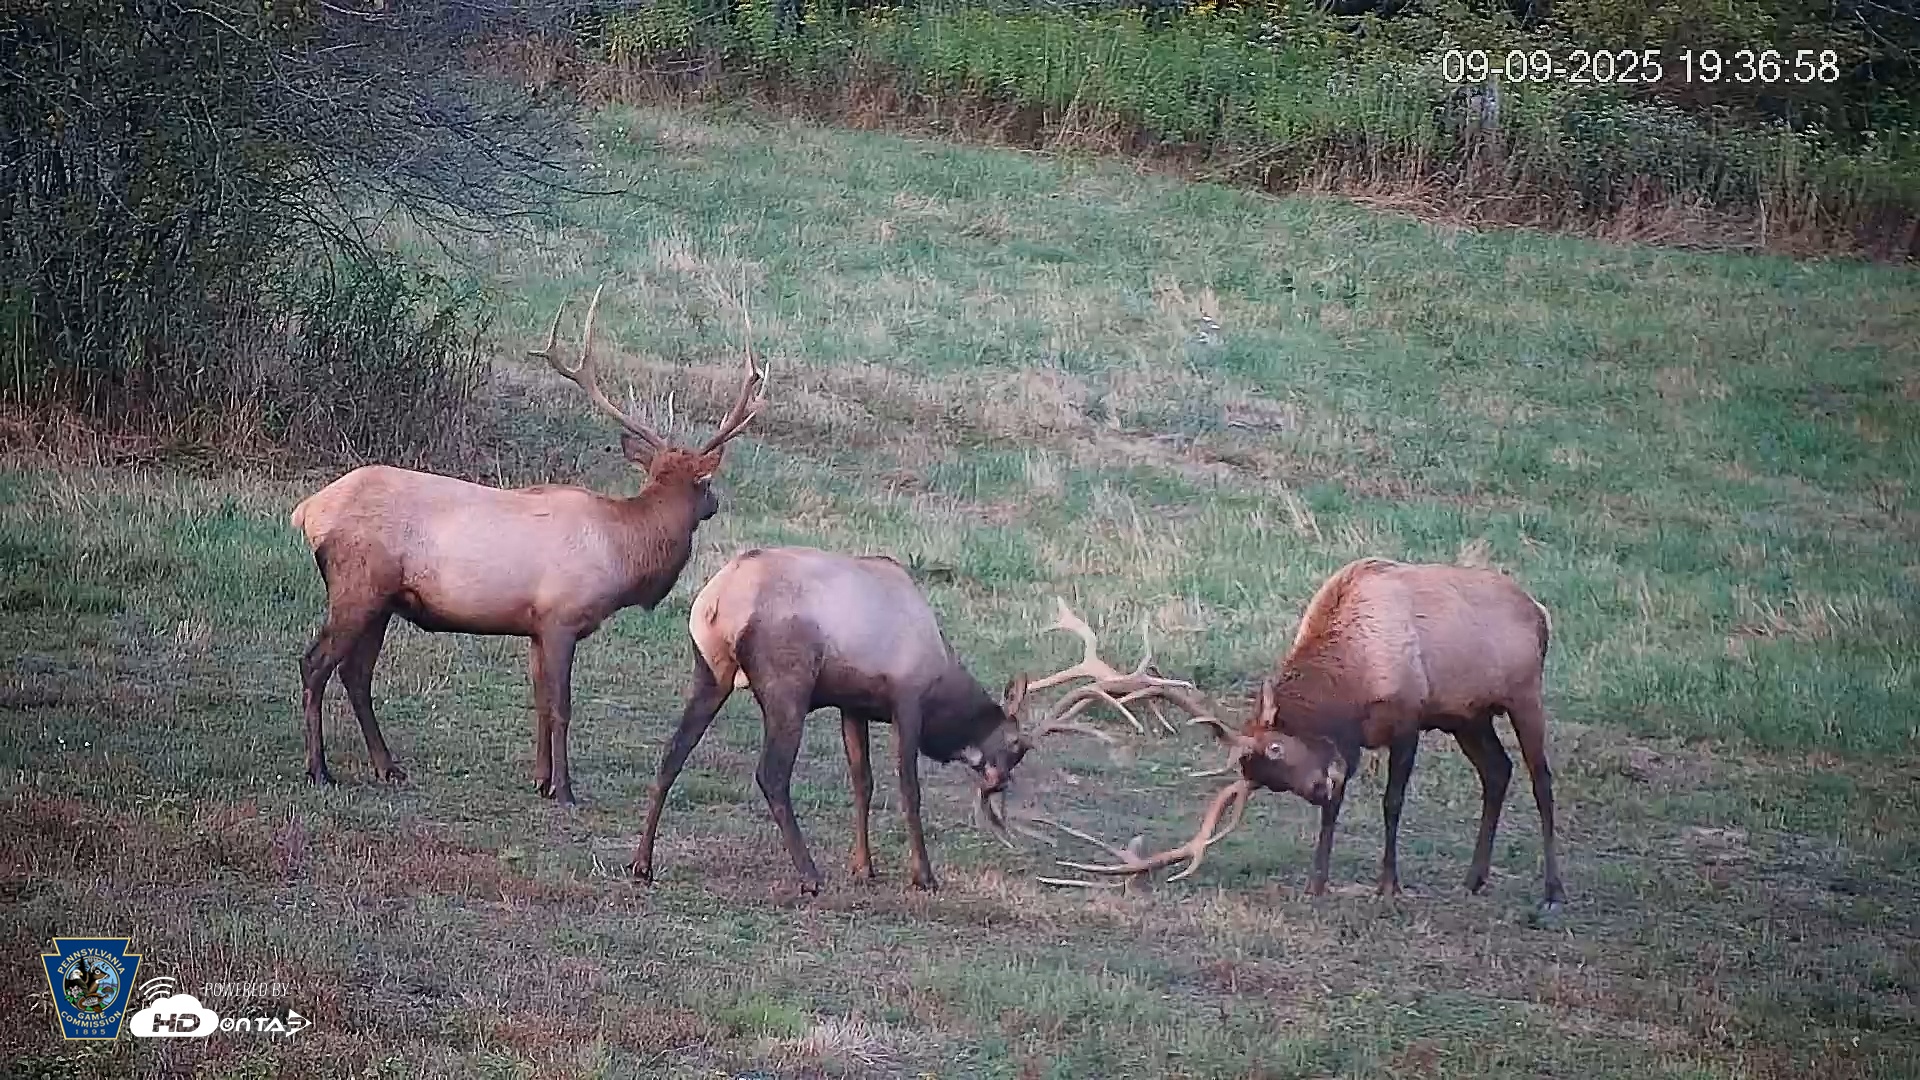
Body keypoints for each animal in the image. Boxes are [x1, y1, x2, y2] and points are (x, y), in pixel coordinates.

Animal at [289, 282, 765, 807]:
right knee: (314, 664)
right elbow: (562, 706)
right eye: (705, 483)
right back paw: (319, 769)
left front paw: (541, 780)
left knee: (356, 674)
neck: (622, 554)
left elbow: (539, 702)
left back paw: (388, 766)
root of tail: (309, 511)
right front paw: (566, 789)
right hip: (357, 584)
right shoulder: (560, 618)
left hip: (383, 600)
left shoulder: (535, 627)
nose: (715, 502)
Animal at [633, 547, 1119, 894]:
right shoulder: (907, 700)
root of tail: (717, 601)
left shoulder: (854, 707)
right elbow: (909, 789)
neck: (943, 681)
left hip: (710, 671)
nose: (998, 783)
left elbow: (862, 782)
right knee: (771, 774)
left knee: (672, 754)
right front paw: (923, 874)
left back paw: (642, 862)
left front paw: (864, 866)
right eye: (1018, 745)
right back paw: (810, 875)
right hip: (787, 683)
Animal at [1033, 558, 1567, 910]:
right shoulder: (1349, 743)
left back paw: (1552, 891)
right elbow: (1336, 807)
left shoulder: (1408, 719)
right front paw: (1317, 883)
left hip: (1524, 694)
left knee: (1540, 780)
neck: (1351, 682)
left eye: (1275, 746)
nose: (1313, 788)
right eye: (1269, 781)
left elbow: (1392, 802)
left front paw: (1387, 885)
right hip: (1468, 717)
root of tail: (1541, 612)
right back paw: (1475, 879)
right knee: (1497, 772)